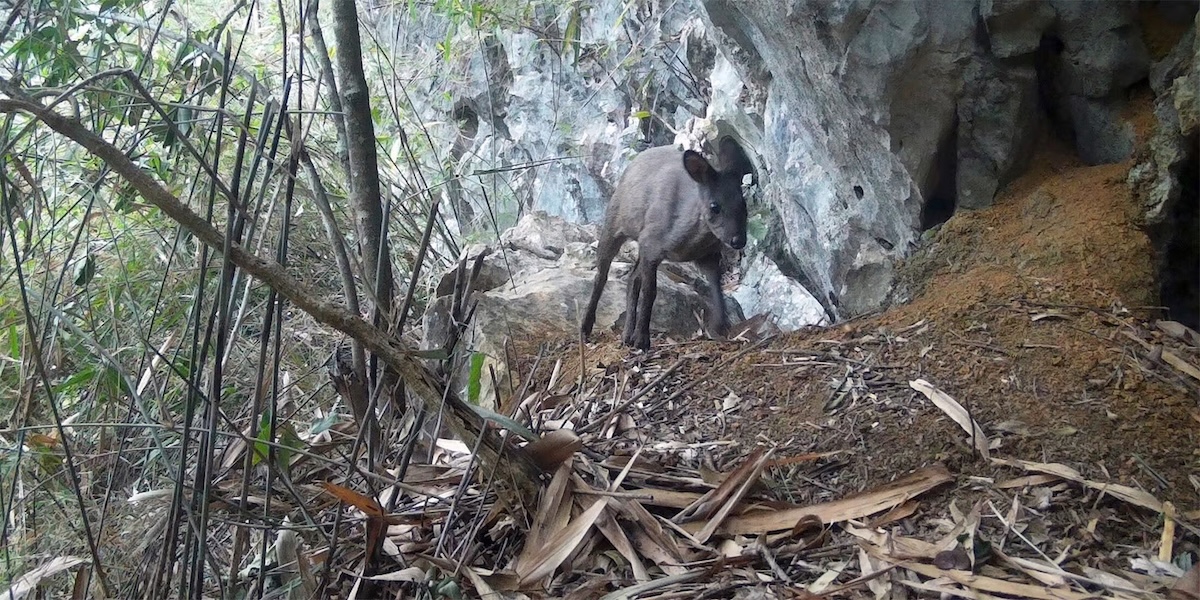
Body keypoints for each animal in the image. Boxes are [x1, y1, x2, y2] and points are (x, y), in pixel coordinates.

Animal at [580, 136, 753, 350]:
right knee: (601, 275)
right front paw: (642, 340)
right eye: (715, 206)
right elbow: (650, 292)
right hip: (614, 223)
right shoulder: (651, 243)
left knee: (632, 277)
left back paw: (626, 335)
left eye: (743, 205)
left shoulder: (707, 254)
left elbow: (717, 287)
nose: (738, 240)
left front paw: (720, 326)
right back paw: (586, 329)